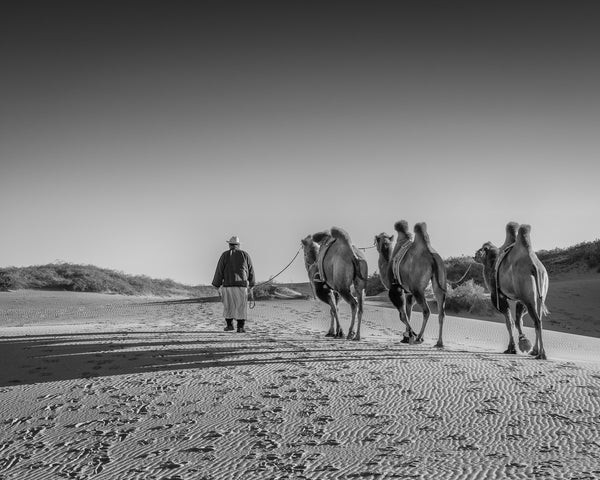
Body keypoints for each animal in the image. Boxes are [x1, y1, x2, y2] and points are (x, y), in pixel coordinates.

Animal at [476, 223, 552, 358]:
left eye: (482, 248)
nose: (474, 254)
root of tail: (535, 267)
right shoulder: (519, 299)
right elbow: (518, 321)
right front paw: (522, 343)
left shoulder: (498, 296)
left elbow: (509, 322)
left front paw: (512, 348)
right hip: (539, 294)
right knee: (539, 320)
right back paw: (535, 351)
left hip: (527, 296)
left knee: (537, 321)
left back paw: (541, 354)